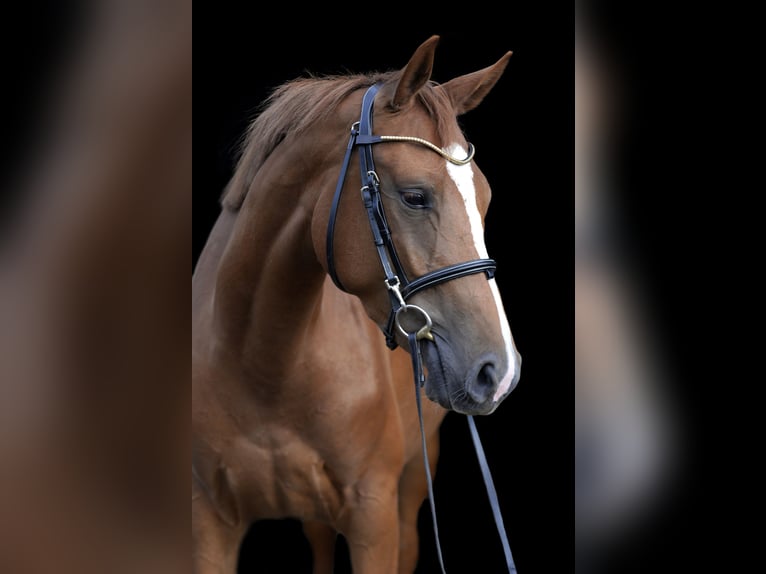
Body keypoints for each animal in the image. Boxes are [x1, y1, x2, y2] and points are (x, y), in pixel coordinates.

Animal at [192, 35, 521, 573]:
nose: (500, 371)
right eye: (414, 196)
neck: (265, 363)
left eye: (486, 199)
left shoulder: (374, 518)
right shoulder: (209, 523)